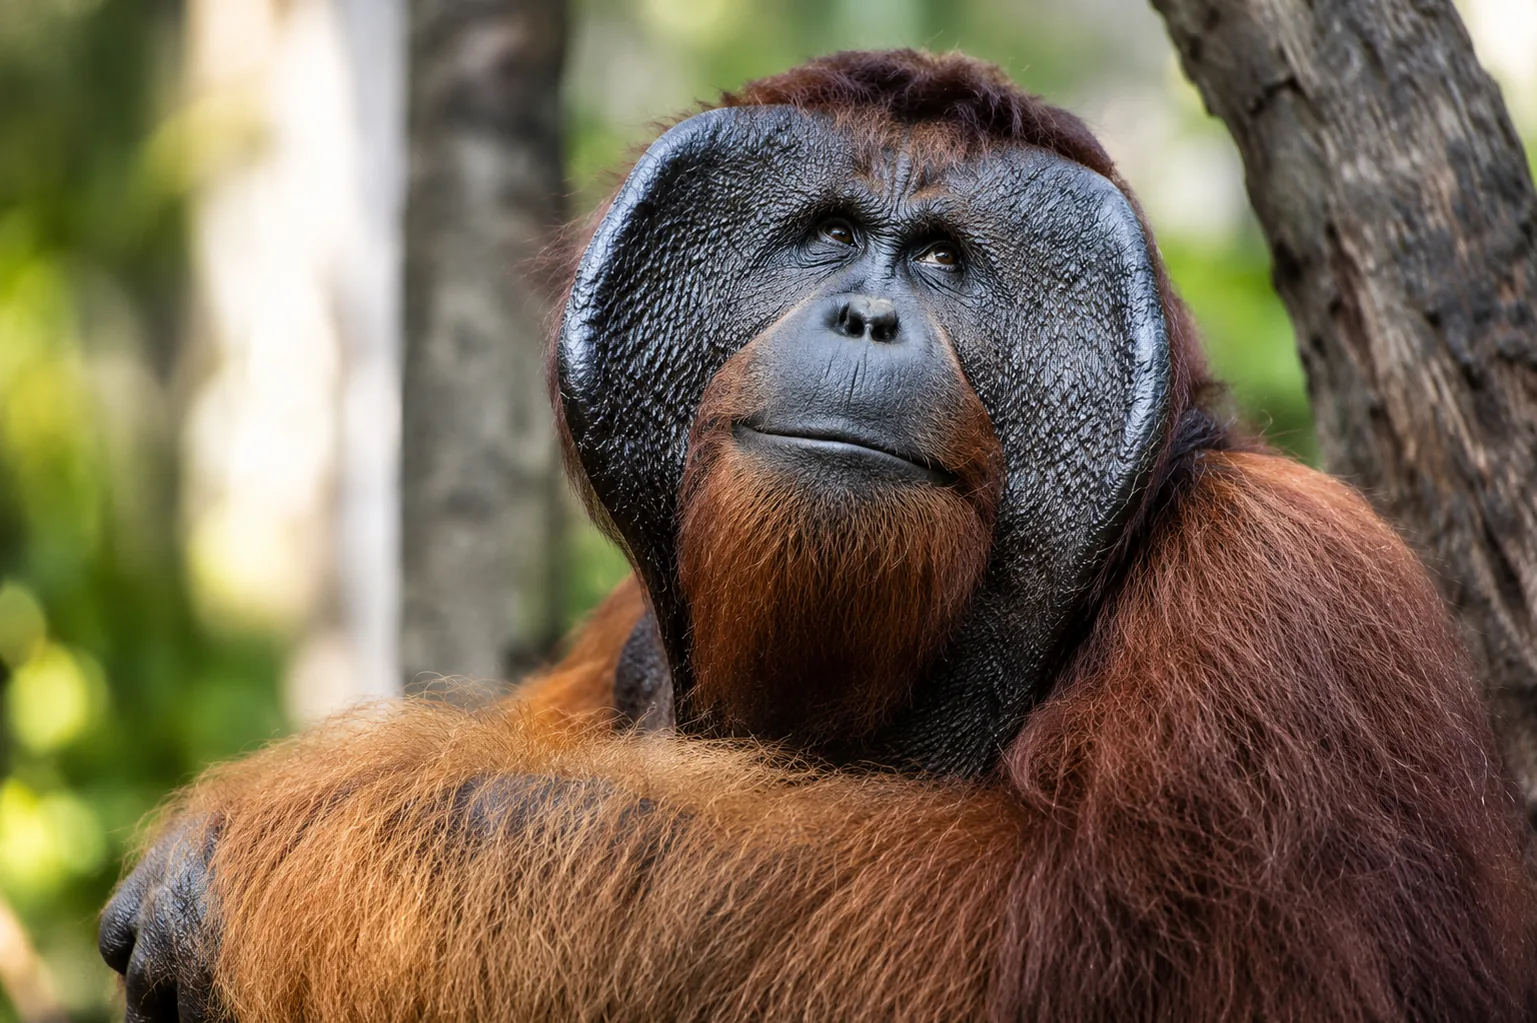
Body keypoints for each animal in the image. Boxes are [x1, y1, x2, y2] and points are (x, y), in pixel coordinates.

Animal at [100, 50, 1535, 1022]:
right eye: (832, 235)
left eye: (944, 260)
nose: (865, 316)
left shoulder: (1293, 592)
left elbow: (1080, 937)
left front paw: (257, 854)